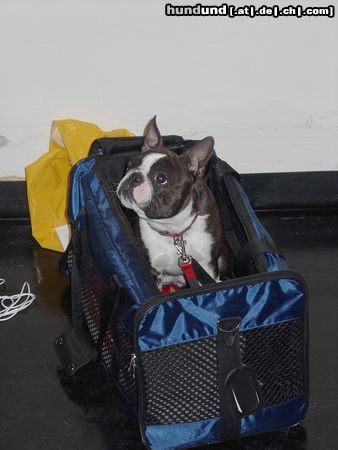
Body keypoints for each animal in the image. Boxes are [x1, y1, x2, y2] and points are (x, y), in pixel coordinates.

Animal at [116, 118, 230, 290]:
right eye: (129, 165)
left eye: (161, 178)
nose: (134, 176)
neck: (175, 230)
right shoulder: (154, 270)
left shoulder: (208, 266)